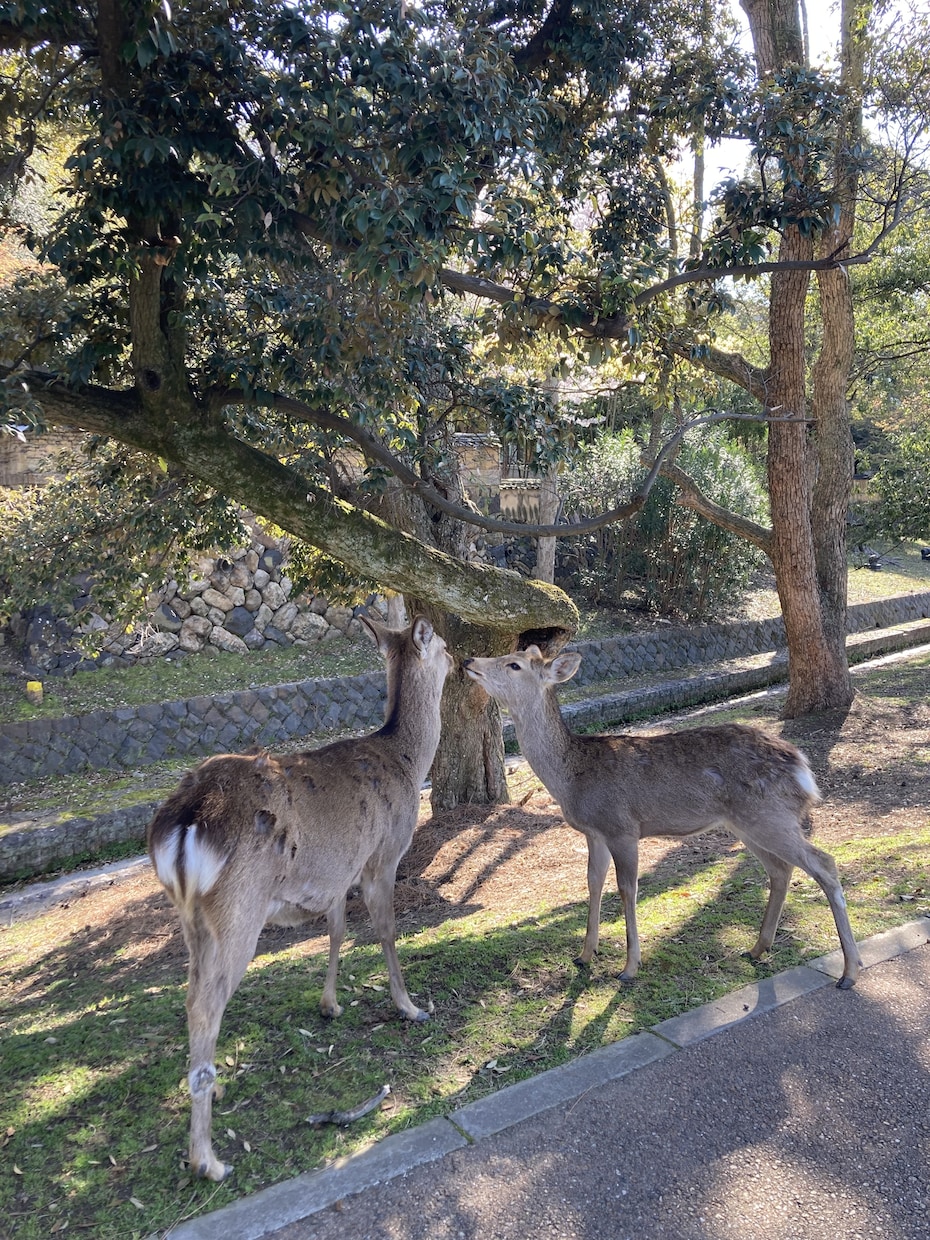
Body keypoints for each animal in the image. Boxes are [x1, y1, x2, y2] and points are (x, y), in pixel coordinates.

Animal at [148, 614, 452, 1182]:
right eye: (443, 646)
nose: (464, 660)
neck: (408, 764)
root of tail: (183, 823)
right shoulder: (382, 856)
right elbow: (385, 931)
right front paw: (410, 1006)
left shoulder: (334, 873)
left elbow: (336, 931)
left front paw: (330, 1004)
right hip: (238, 908)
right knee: (205, 1002)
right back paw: (209, 1159)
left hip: (190, 915)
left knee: (192, 992)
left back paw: (211, 1087)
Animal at [464, 645, 861, 991]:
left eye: (514, 664)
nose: (469, 660)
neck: (573, 778)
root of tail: (803, 769)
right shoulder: (594, 832)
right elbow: (593, 883)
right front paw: (585, 955)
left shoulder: (623, 827)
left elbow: (627, 889)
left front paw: (629, 968)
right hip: (748, 823)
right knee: (780, 869)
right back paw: (758, 948)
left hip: (769, 816)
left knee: (824, 862)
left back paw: (849, 971)